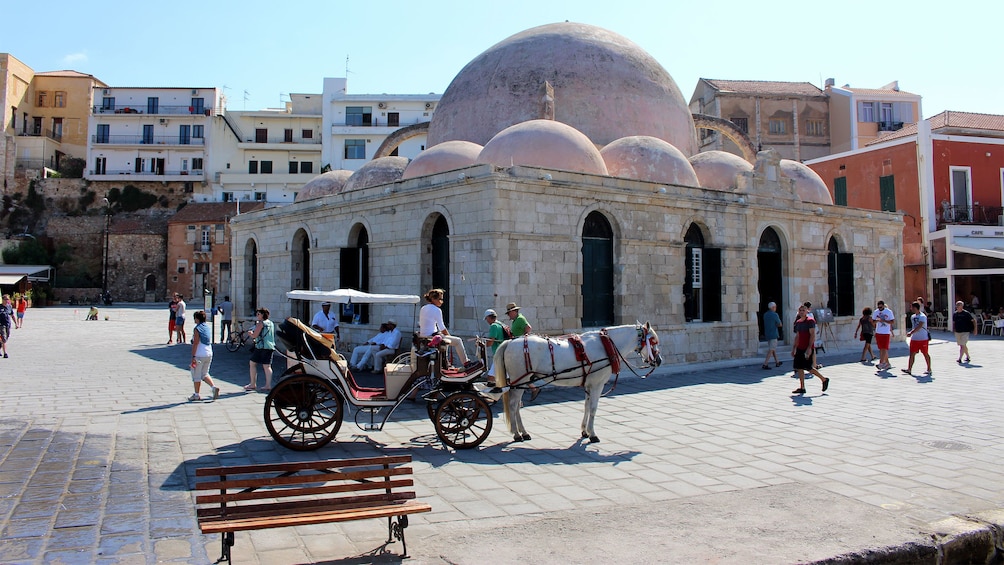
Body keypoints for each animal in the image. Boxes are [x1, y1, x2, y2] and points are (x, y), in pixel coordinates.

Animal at [491, 325, 662, 443]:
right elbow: (593, 408)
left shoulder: (588, 385)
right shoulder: (597, 384)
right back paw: (516, 434)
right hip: (521, 380)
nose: (659, 361)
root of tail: (510, 342)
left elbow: (586, 406)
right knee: (513, 405)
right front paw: (593, 434)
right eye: (653, 341)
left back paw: (524, 432)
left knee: (517, 406)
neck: (606, 345)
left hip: (523, 382)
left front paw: (584, 431)